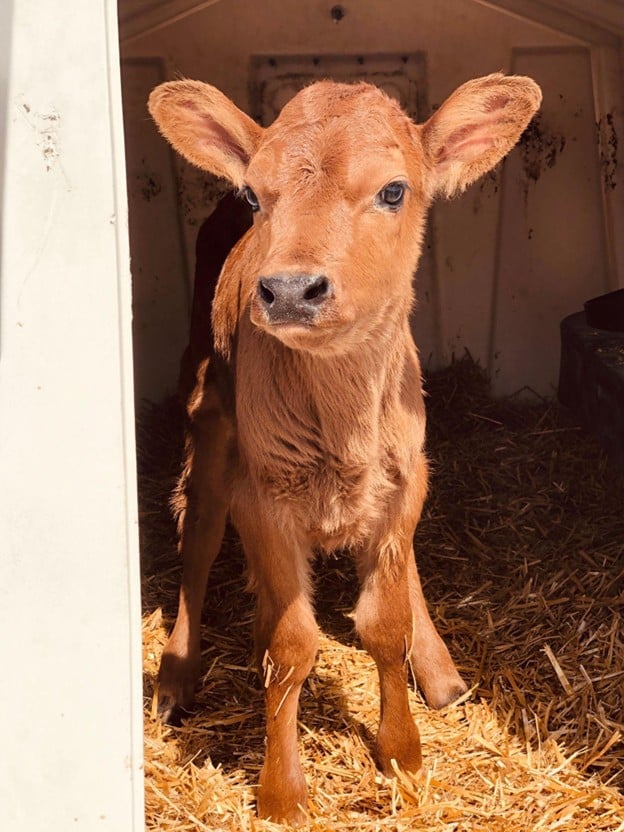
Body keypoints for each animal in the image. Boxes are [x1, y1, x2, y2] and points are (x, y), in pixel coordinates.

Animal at [148, 73, 541, 825]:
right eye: (255, 196)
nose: (289, 290)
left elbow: (384, 623)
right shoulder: (261, 496)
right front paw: (282, 793)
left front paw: (403, 754)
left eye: (393, 191)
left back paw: (440, 670)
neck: (342, 422)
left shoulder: (401, 482)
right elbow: (291, 643)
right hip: (208, 422)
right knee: (199, 535)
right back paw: (177, 675)